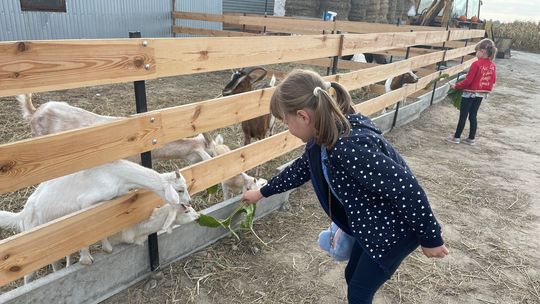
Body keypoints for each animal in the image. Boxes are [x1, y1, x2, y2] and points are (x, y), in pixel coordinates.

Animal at [0, 160, 194, 284]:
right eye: (180, 189)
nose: (189, 202)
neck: (117, 175)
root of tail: (22, 215)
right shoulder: (86, 203)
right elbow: (90, 229)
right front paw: (87, 259)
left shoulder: (108, 203)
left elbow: (104, 227)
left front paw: (106, 248)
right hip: (31, 240)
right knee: (28, 275)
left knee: (55, 260)